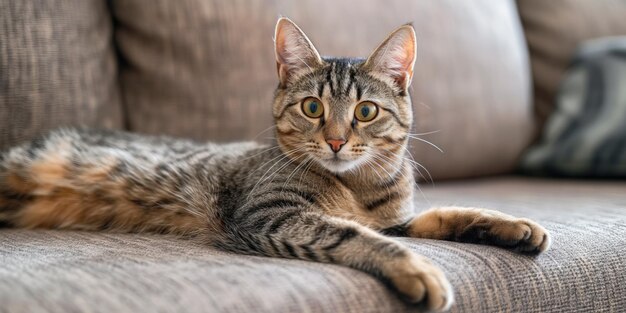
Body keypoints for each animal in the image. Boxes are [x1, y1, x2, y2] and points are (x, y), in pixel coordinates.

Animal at [0, 18, 544, 310]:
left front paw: (511, 225)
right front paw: (419, 269)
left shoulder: (396, 219)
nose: (336, 141)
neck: (359, 188)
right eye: (313, 108)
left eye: (366, 112)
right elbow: (354, 235)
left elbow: (445, 213)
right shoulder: (270, 214)